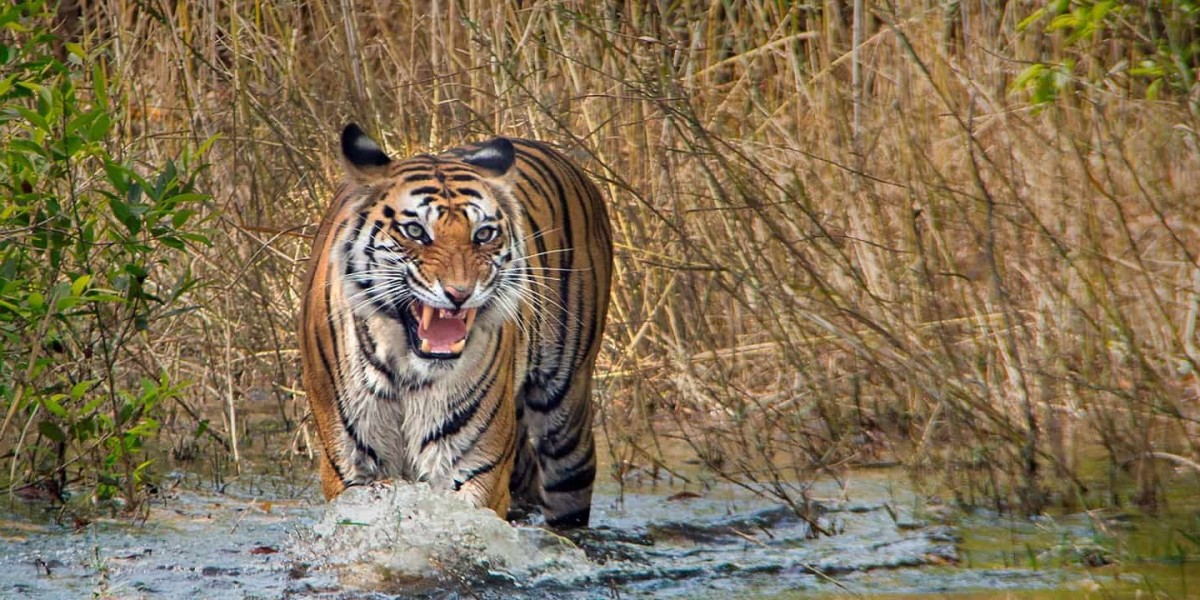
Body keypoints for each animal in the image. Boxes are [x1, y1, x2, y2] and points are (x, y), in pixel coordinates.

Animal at [298, 123, 612, 529]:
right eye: (416, 231)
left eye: (483, 234)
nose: (460, 293)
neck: (407, 371)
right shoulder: (350, 465)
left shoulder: (472, 465)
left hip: (564, 411)